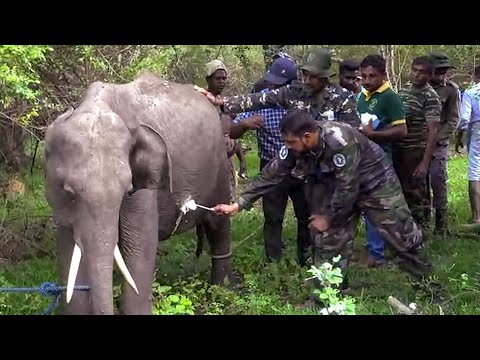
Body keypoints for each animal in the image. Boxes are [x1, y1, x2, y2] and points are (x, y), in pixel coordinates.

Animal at [44, 72, 235, 316]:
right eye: (69, 191)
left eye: (127, 190)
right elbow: (68, 248)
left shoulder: (144, 189)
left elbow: (139, 243)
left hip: (219, 165)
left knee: (218, 226)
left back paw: (221, 292)